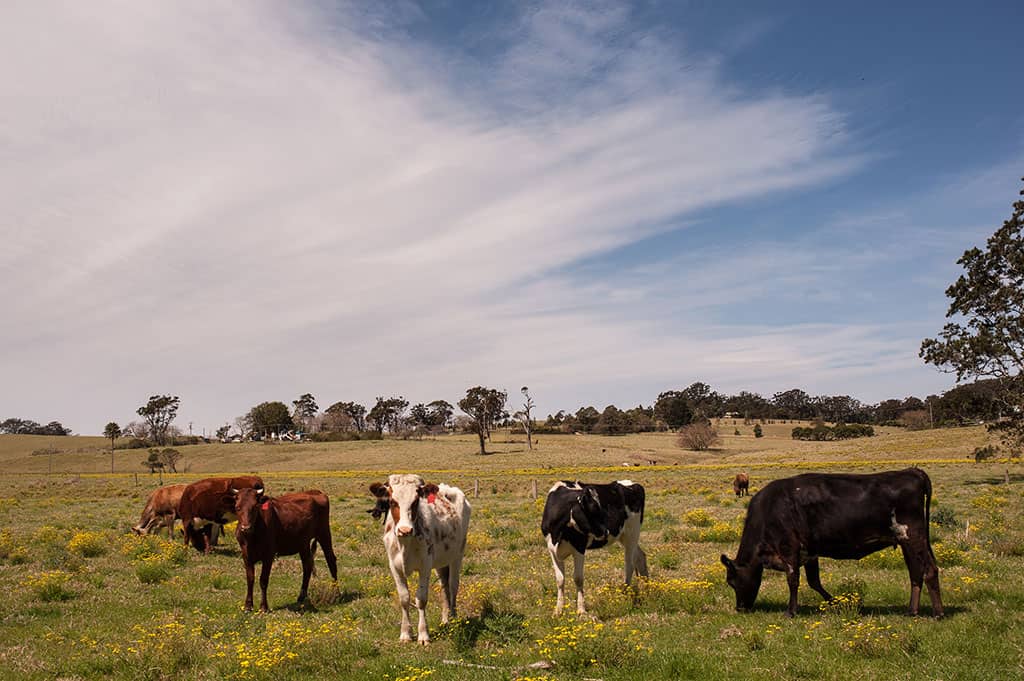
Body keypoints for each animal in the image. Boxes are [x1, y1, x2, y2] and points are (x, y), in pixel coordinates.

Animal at [231, 485, 335, 614]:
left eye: (255, 507)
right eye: (237, 507)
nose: (246, 528)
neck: (252, 537)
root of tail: (316, 492)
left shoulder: (268, 555)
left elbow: (263, 580)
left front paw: (263, 607)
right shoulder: (246, 555)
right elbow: (250, 579)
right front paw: (248, 606)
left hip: (324, 534)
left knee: (331, 560)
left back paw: (335, 592)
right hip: (303, 543)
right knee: (307, 566)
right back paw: (301, 596)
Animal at [368, 473, 471, 643]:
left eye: (415, 501)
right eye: (392, 501)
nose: (405, 530)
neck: (405, 544)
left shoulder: (425, 566)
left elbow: (421, 599)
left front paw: (423, 634)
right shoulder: (395, 567)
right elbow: (404, 598)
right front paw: (405, 633)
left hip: (457, 555)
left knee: (453, 586)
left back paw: (454, 618)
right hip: (441, 563)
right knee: (444, 587)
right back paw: (445, 620)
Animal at [544, 477, 647, 614]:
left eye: (600, 508)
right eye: (592, 510)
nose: (606, 532)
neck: (558, 532)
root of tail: (632, 483)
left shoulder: (579, 548)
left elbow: (578, 578)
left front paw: (581, 610)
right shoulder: (552, 550)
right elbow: (560, 580)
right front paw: (558, 611)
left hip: (632, 533)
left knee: (629, 564)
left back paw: (626, 594)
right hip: (624, 536)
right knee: (640, 556)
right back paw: (647, 587)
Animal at [720, 466, 942, 614]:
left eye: (731, 581)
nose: (740, 608)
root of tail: (913, 471)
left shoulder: (788, 548)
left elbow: (793, 579)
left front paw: (791, 611)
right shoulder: (809, 552)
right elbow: (814, 582)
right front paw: (837, 603)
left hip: (914, 537)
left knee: (930, 569)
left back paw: (937, 613)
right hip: (906, 541)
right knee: (915, 573)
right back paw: (912, 611)